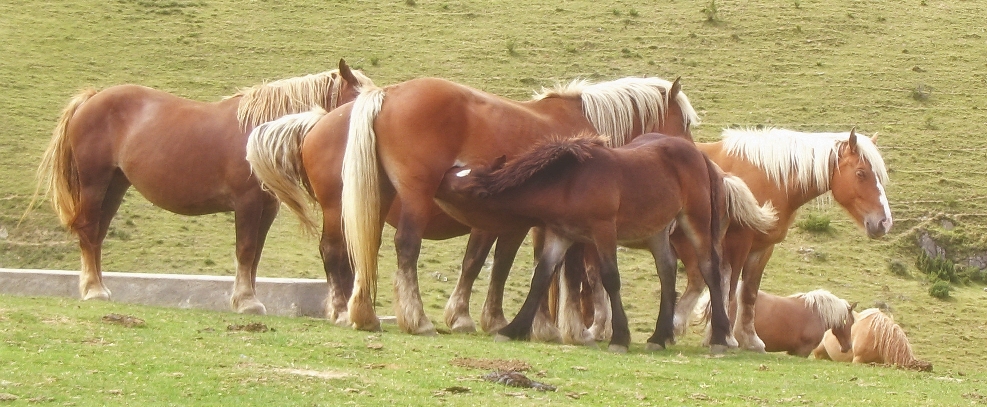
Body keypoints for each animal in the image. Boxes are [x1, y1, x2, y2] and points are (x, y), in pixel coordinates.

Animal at [29, 59, 374, 316]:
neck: (257, 132)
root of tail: (92, 98)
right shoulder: (247, 203)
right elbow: (245, 250)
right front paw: (246, 302)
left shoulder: (266, 208)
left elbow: (254, 255)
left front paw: (247, 298)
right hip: (95, 183)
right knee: (89, 231)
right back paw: (93, 290)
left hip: (115, 186)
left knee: (97, 235)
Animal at [251, 75, 708, 336]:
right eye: (686, 122)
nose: (698, 160)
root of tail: (387, 95)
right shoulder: (549, 224)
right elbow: (561, 270)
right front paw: (560, 328)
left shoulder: (520, 223)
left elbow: (501, 266)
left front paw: (490, 319)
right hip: (407, 198)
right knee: (397, 248)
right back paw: (413, 319)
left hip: (372, 201)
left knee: (359, 252)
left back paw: (359, 313)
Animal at [436, 134, 728, 354]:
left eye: (460, 187)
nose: (439, 180)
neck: (569, 182)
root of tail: (698, 153)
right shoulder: (561, 235)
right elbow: (540, 277)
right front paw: (513, 329)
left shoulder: (603, 231)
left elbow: (611, 278)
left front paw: (619, 338)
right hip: (657, 230)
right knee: (667, 270)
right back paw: (660, 336)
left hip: (695, 221)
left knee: (709, 269)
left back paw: (720, 337)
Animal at [672, 129, 896, 352]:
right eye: (861, 173)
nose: (884, 222)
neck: (766, 177)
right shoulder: (737, 243)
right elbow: (730, 288)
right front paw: (723, 336)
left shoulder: (762, 249)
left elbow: (748, 293)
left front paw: (750, 339)